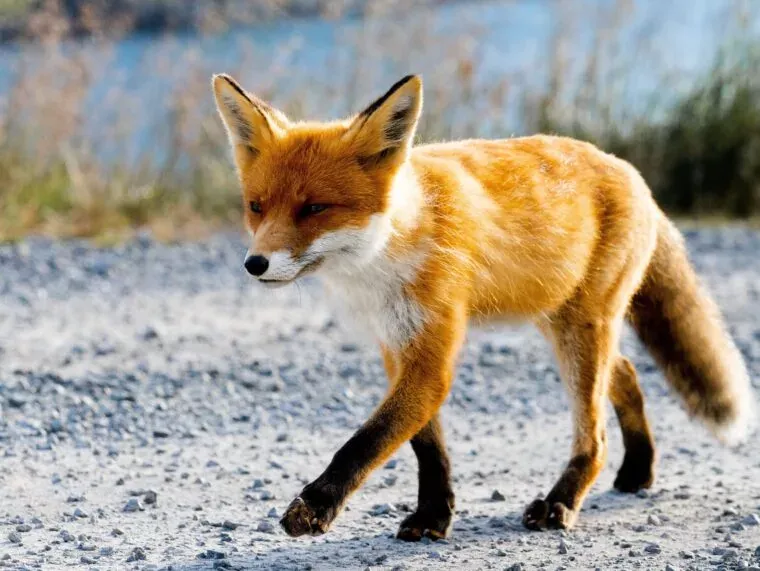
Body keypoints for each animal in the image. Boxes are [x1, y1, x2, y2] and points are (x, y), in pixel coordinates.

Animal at [211, 73, 755, 540]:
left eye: (314, 209)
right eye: (256, 207)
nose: (254, 264)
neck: (388, 251)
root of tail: (628, 169)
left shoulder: (431, 350)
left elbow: (368, 440)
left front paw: (316, 506)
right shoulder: (396, 343)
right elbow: (425, 445)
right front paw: (434, 516)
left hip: (580, 330)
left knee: (596, 431)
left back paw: (562, 501)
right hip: (561, 320)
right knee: (625, 374)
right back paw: (638, 469)